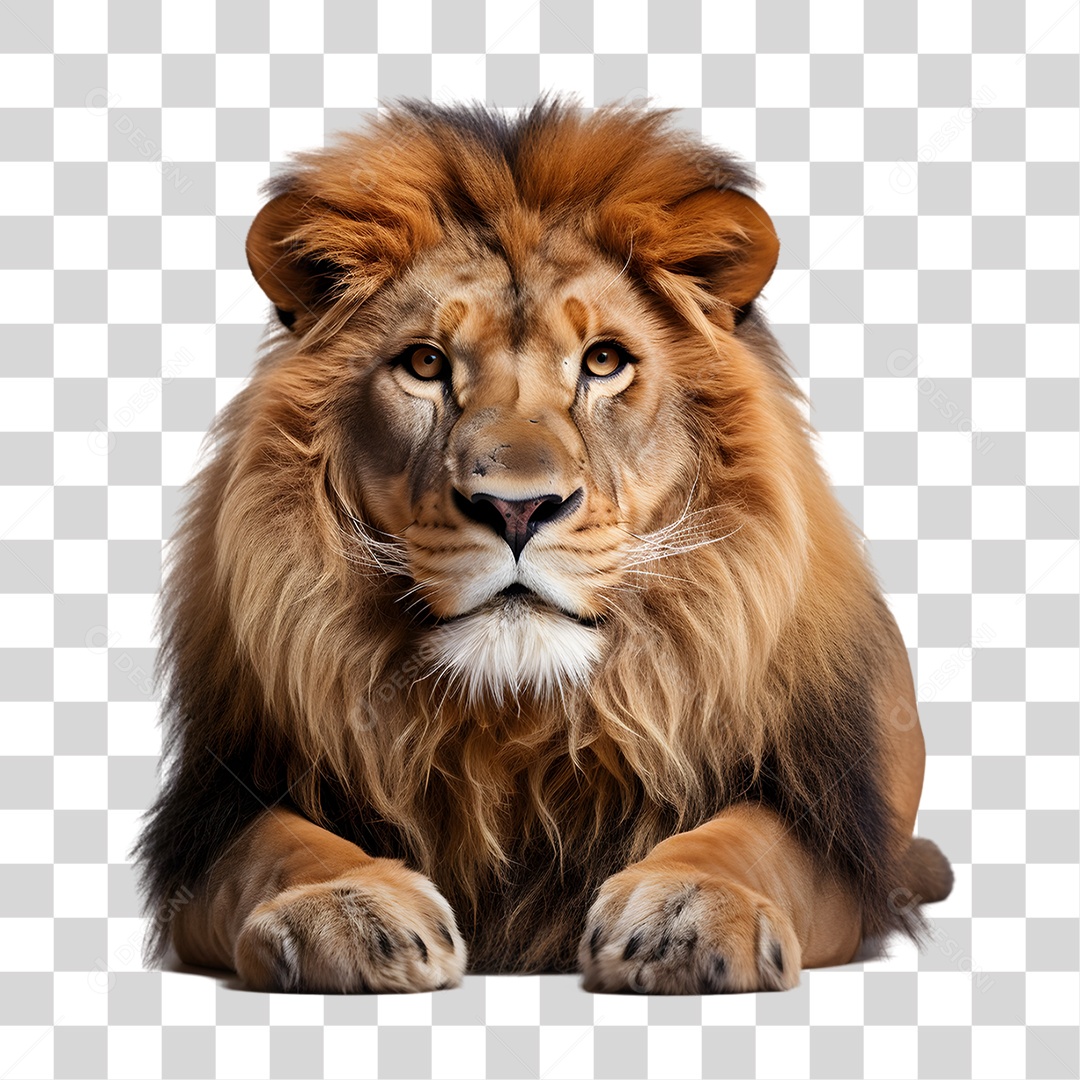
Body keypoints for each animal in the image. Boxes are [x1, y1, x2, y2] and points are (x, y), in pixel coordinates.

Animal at [135, 98, 952, 995]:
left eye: (605, 361)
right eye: (425, 364)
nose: (517, 508)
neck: (516, 723)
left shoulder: (836, 843)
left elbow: (751, 840)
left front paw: (688, 908)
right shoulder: (211, 824)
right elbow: (277, 846)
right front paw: (343, 907)